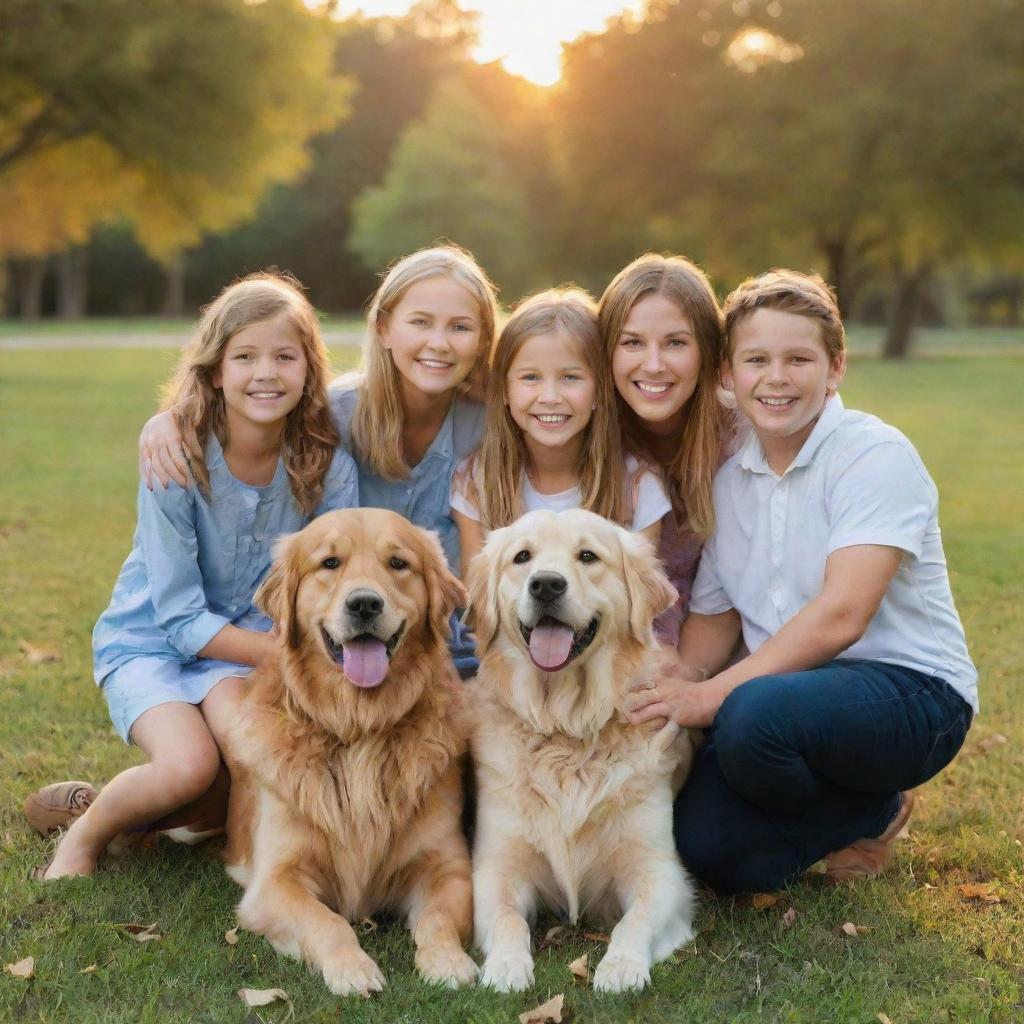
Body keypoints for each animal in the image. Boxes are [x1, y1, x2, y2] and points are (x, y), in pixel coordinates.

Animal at [466, 509, 696, 991]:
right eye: (522, 557)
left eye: (588, 556)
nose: (546, 585)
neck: (565, 731)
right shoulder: (495, 866)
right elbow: (506, 917)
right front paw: (506, 966)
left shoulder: (660, 868)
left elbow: (635, 919)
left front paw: (621, 966)